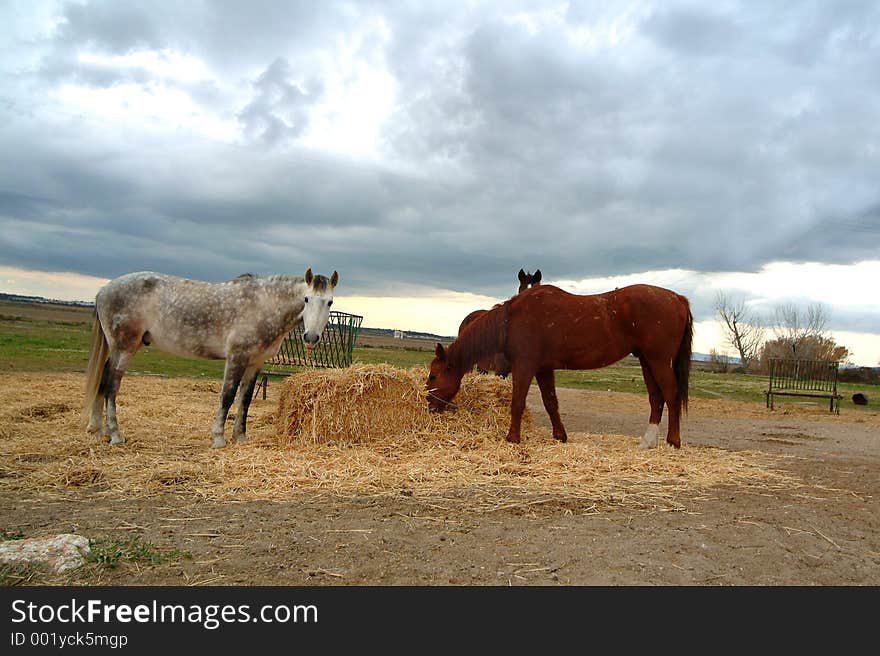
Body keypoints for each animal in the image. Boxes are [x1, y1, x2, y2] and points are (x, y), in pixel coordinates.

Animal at [82, 270, 338, 448]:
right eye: (306, 299)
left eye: (330, 302)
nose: (311, 337)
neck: (262, 306)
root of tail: (104, 290)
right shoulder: (236, 358)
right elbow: (227, 396)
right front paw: (218, 438)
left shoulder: (255, 363)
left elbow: (245, 399)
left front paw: (240, 437)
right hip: (124, 349)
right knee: (111, 386)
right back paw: (115, 434)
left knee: (103, 380)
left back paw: (97, 429)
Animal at [428, 284, 696, 448]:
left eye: (432, 376)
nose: (429, 407)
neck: (512, 318)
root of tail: (678, 299)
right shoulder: (543, 368)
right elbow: (551, 403)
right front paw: (560, 436)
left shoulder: (524, 366)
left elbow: (517, 403)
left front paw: (513, 438)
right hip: (646, 361)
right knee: (656, 398)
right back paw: (648, 442)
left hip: (659, 360)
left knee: (671, 396)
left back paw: (673, 441)